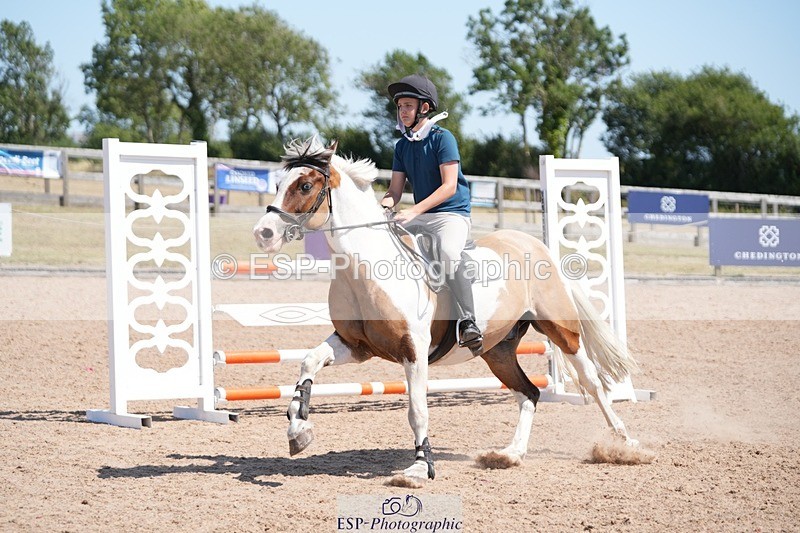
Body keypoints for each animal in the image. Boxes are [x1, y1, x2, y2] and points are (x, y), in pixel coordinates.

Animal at [253, 137, 639, 483]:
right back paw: (510, 454)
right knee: (529, 393)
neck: (364, 269)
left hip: (560, 329)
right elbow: (309, 361)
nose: (263, 233)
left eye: (304, 185)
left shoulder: (413, 352)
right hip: (497, 350)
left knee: (593, 382)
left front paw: (419, 468)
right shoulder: (356, 345)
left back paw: (624, 443)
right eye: (278, 184)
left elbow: (417, 411)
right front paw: (298, 428)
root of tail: (536, 245)